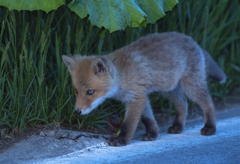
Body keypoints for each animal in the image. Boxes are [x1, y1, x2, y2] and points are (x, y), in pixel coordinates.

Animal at [62, 31, 225, 146]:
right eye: (76, 91)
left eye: (90, 92)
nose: (77, 112)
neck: (122, 77)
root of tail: (191, 39)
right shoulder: (141, 96)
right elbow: (147, 118)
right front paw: (152, 134)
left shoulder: (136, 97)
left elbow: (129, 124)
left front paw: (121, 140)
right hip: (169, 89)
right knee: (183, 103)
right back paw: (177, 126)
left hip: (191, 85)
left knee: (208, 103)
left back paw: (210, 126)